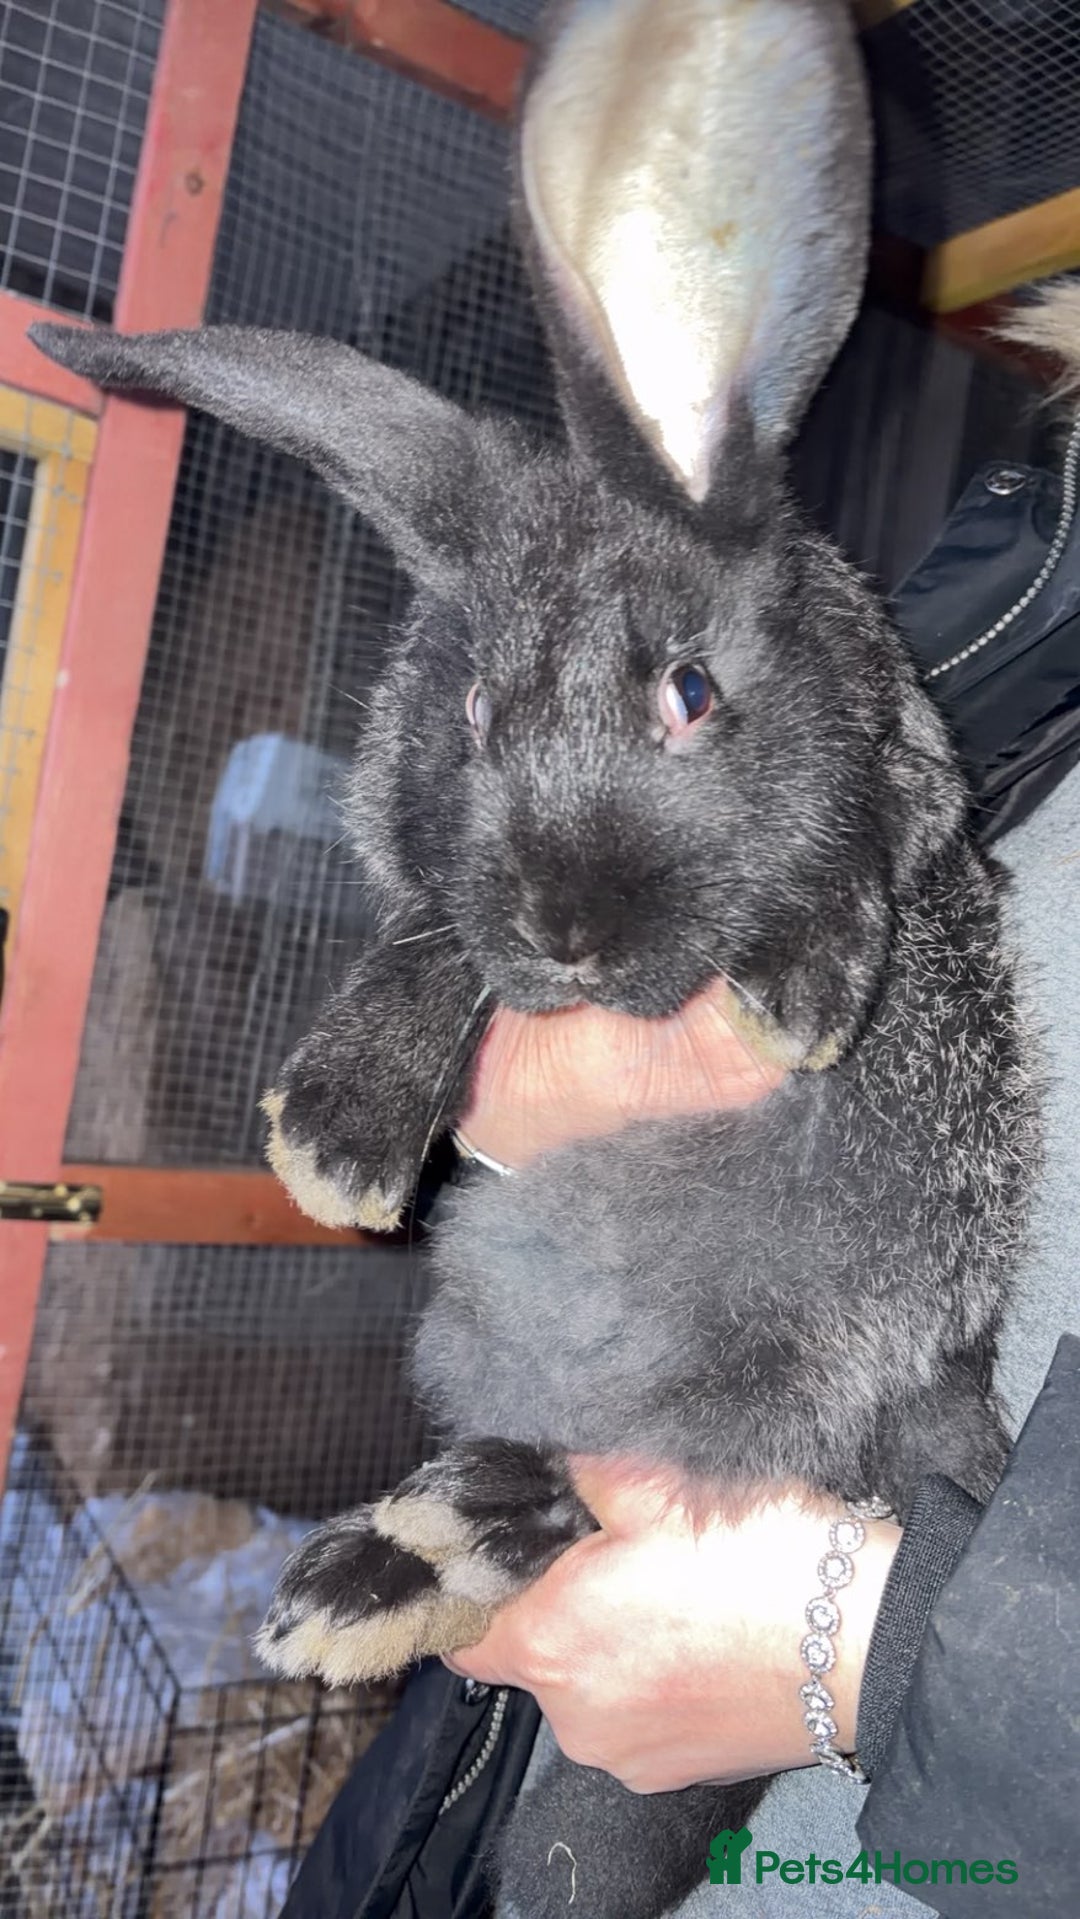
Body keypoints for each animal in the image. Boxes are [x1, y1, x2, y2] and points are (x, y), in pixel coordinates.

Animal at [31, 1, 1044, 1912]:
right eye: (475, 715)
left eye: (696, 690)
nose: (572, 929)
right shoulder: (436, 881)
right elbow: (430, 929)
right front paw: (342, 1127)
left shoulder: (912, 807)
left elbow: (870, 862)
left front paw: (809, 981)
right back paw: (377, 1570)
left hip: (809, 1367)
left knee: (623, 1479)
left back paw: (397, 1564)